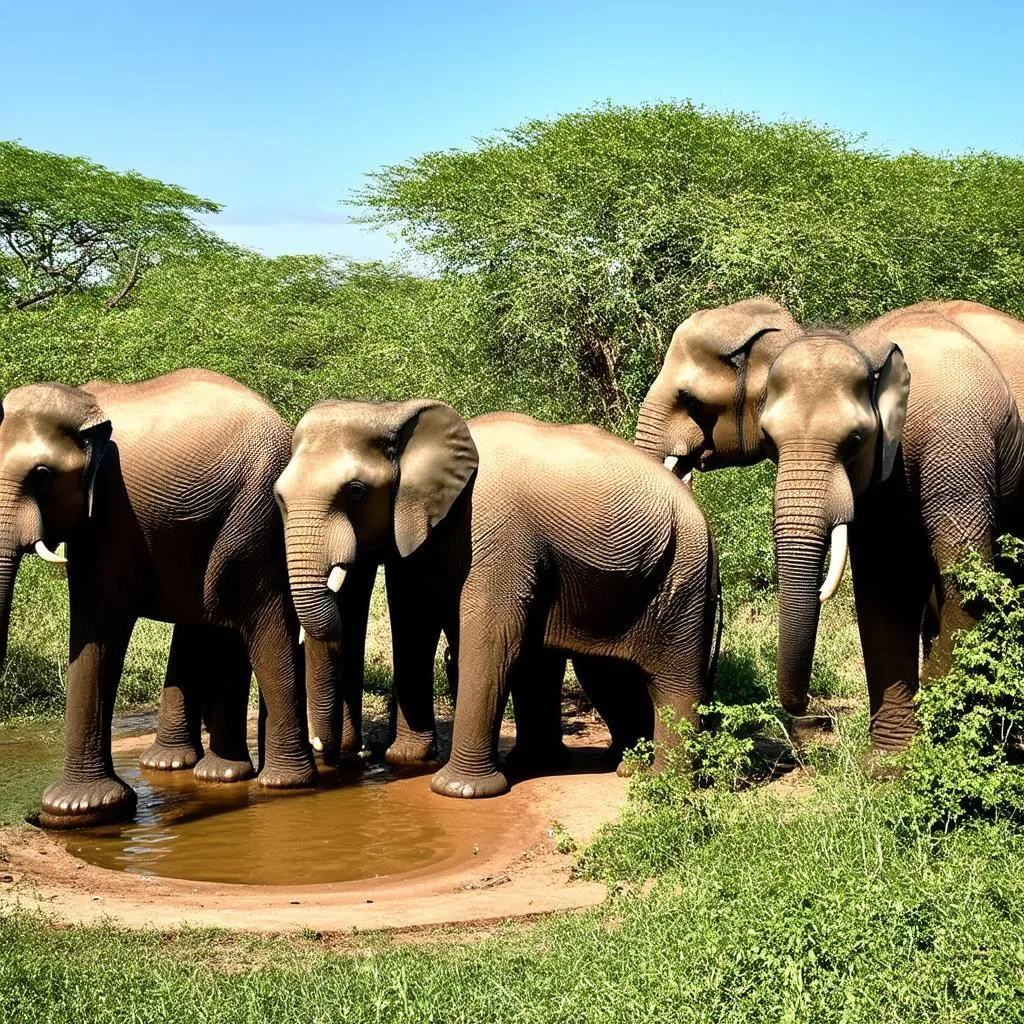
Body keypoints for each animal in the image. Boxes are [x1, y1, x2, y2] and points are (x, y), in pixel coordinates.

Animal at [0, 370, 319, 831]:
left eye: (42, 475)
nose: (32, 819)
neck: (82, 403)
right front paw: (79, 809)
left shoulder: (114, 509)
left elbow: (99, 621)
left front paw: (76, 809)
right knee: (215, 621)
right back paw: (186, 768)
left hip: (253, 512)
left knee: (259, 618)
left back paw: (280, 785)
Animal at [274, 399, 720, 798]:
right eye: (278, 497)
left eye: (355, 492)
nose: (356, 754)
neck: (394, 410)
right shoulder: (417, 532)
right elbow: (414, 623)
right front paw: (409, 761)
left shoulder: (496, 530)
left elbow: (492, 635)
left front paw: (458, 791)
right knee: (604, 671)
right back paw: (599, 765)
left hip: (683, 572)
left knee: (672, 680)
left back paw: (660, 781)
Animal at [630, 296, 1024, 753]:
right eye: (769, 439)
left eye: (690, 400)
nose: (812, 717)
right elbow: (884, 587)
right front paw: (891, 761)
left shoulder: (958, 439)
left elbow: (966, 576)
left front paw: (938, 737)